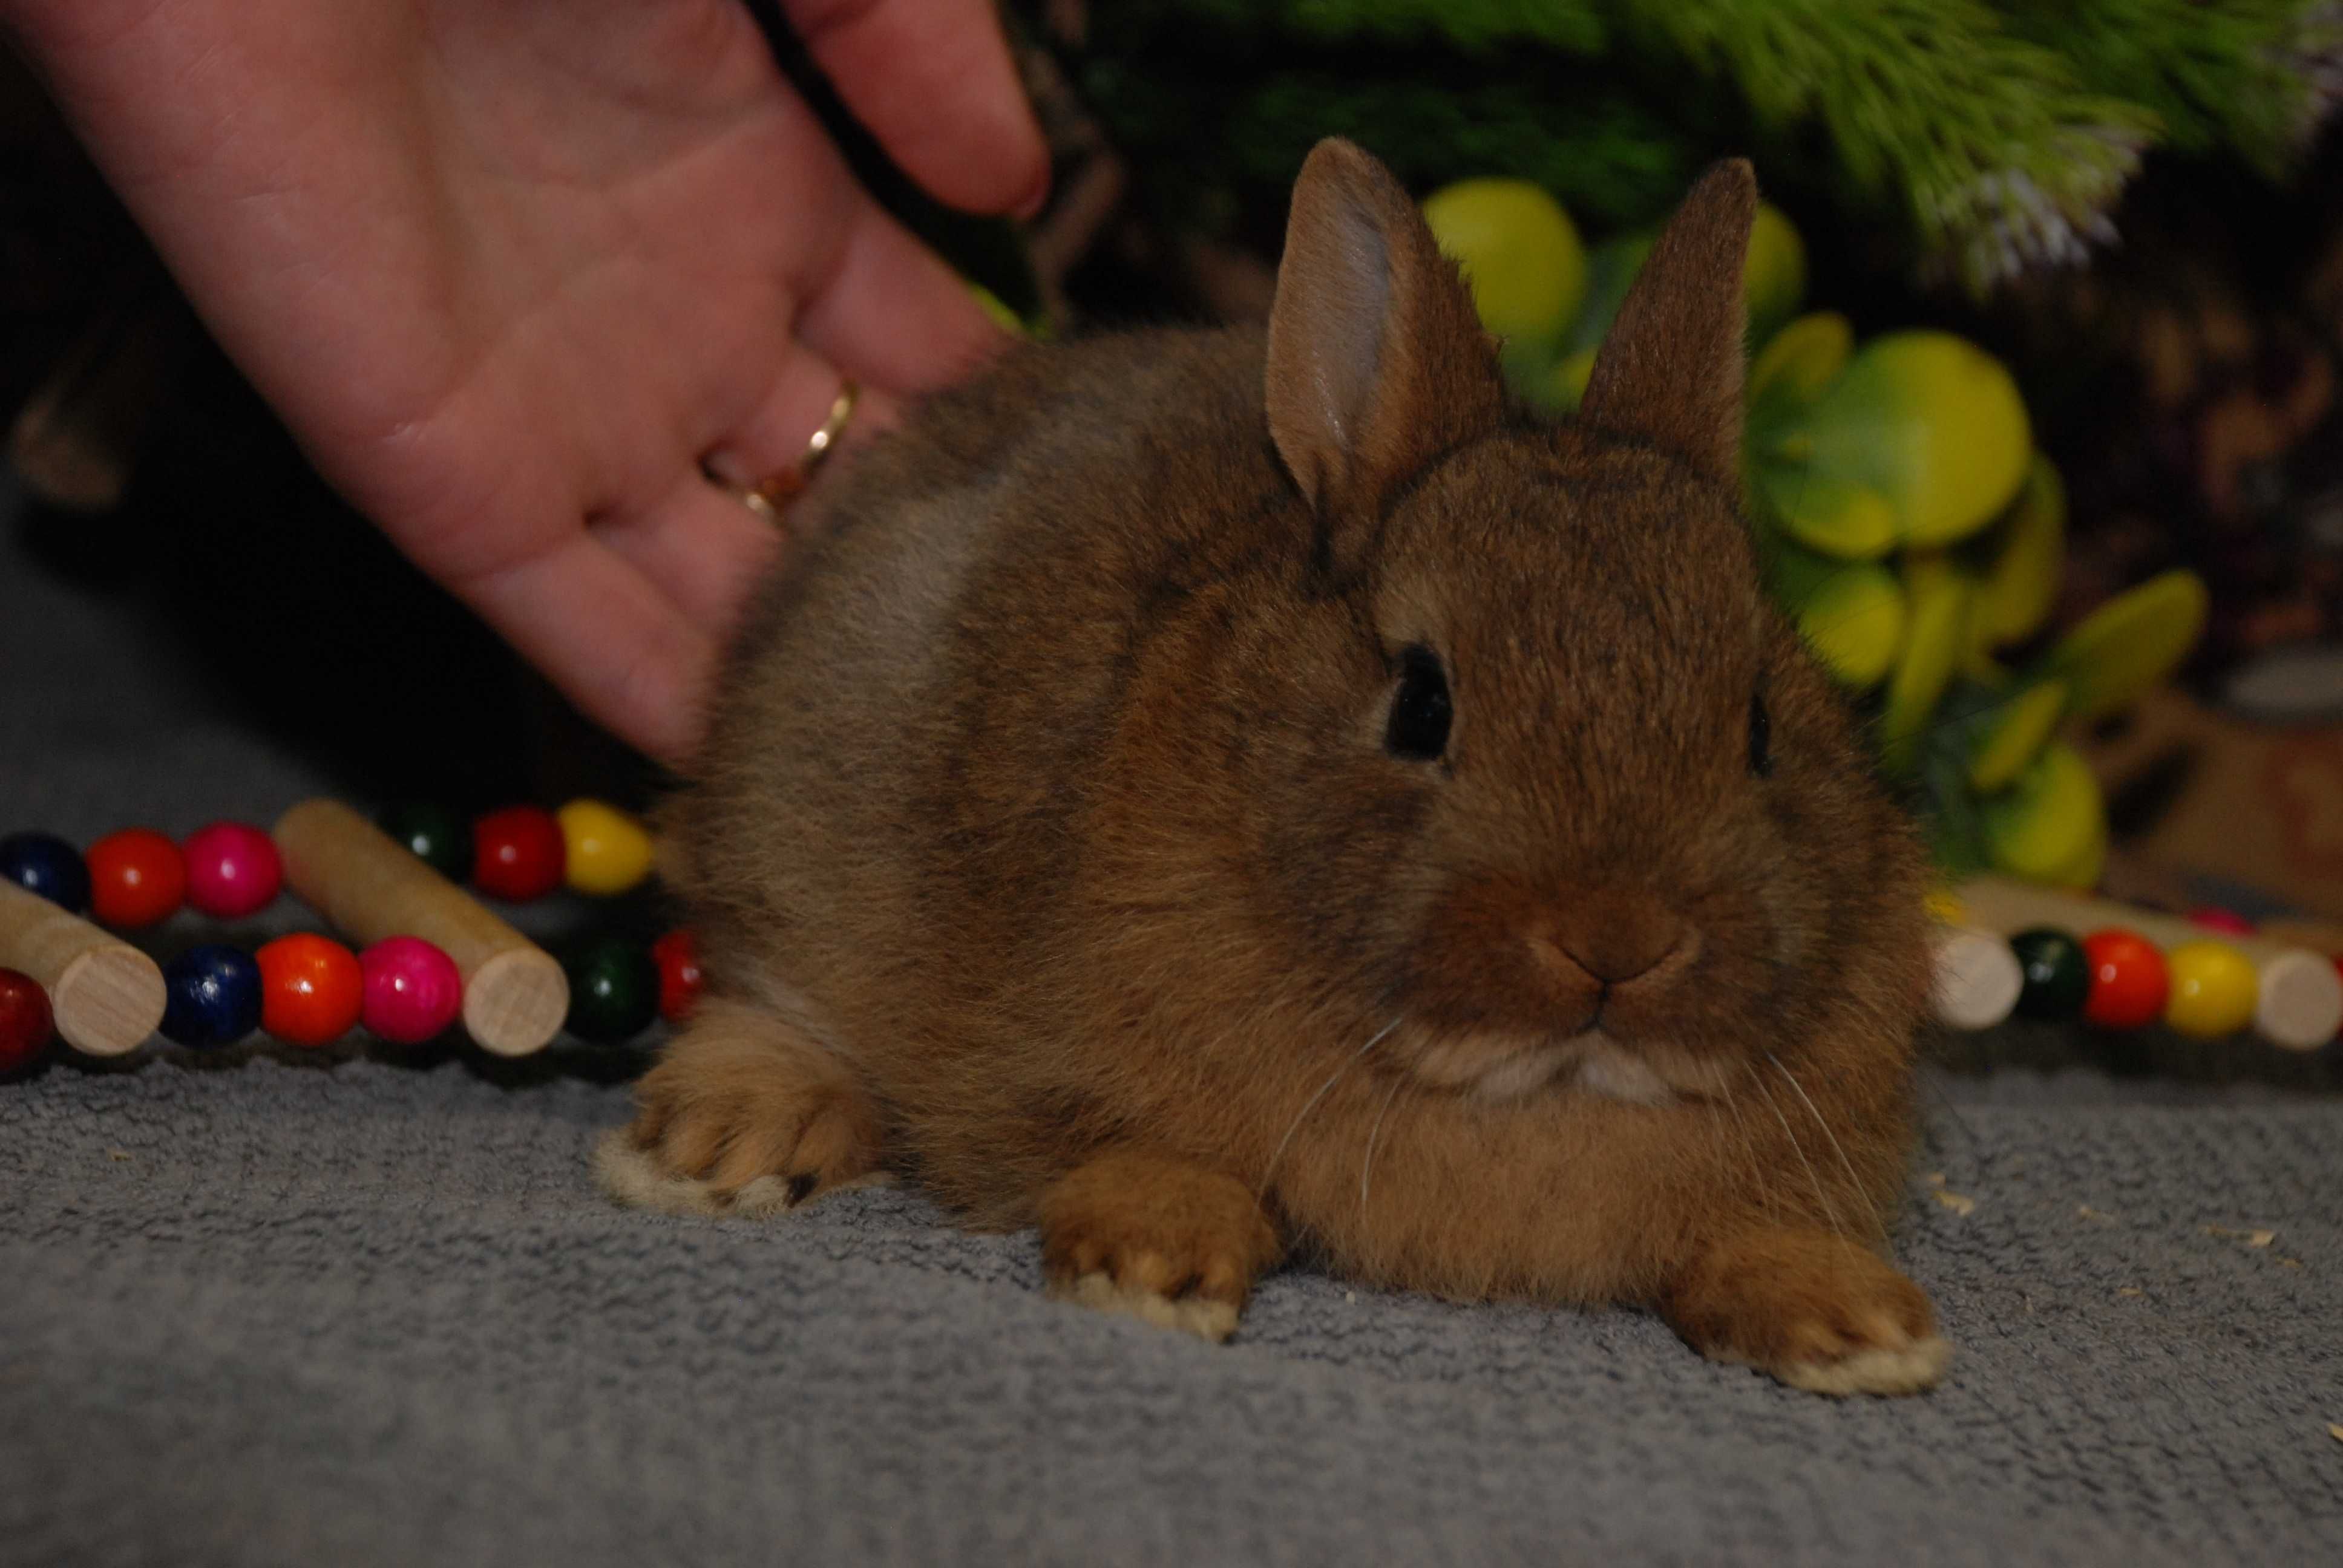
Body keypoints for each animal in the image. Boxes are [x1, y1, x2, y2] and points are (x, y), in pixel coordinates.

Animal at [595, 137, 1949, 1397]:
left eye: (1759, 722)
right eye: (1421, 703)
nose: (1615, 942)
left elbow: (1740, 1241)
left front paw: (1860, 1331)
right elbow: (1157, 1158)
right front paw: (1146, 1267)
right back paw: (719, 1146)